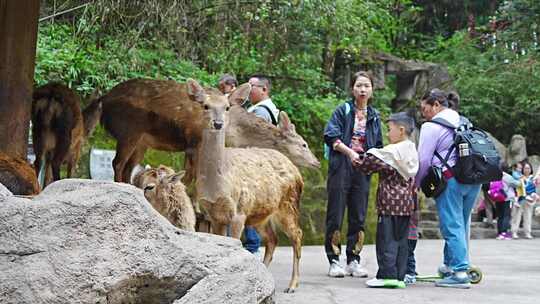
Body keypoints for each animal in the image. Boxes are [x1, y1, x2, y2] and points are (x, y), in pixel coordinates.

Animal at [94, 78, 320, 183]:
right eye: (304, 144)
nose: (317, 162)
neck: (235, 134)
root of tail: (103, 99)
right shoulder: (194, 143)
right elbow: (191, 179)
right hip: (129, 131)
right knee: (118, 163)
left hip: (142, 142)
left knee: (128, 168)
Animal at [192, 79, 304, 294]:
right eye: (205, 106)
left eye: (227, 107)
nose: (218, 124)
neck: (217, 184)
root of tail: (296, 170)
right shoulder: (213, 214)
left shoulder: (239, 211)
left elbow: (236, 244)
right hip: (261, 214)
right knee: (272, 239)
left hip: (289, 203)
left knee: (297, 235)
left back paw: (292, 285)